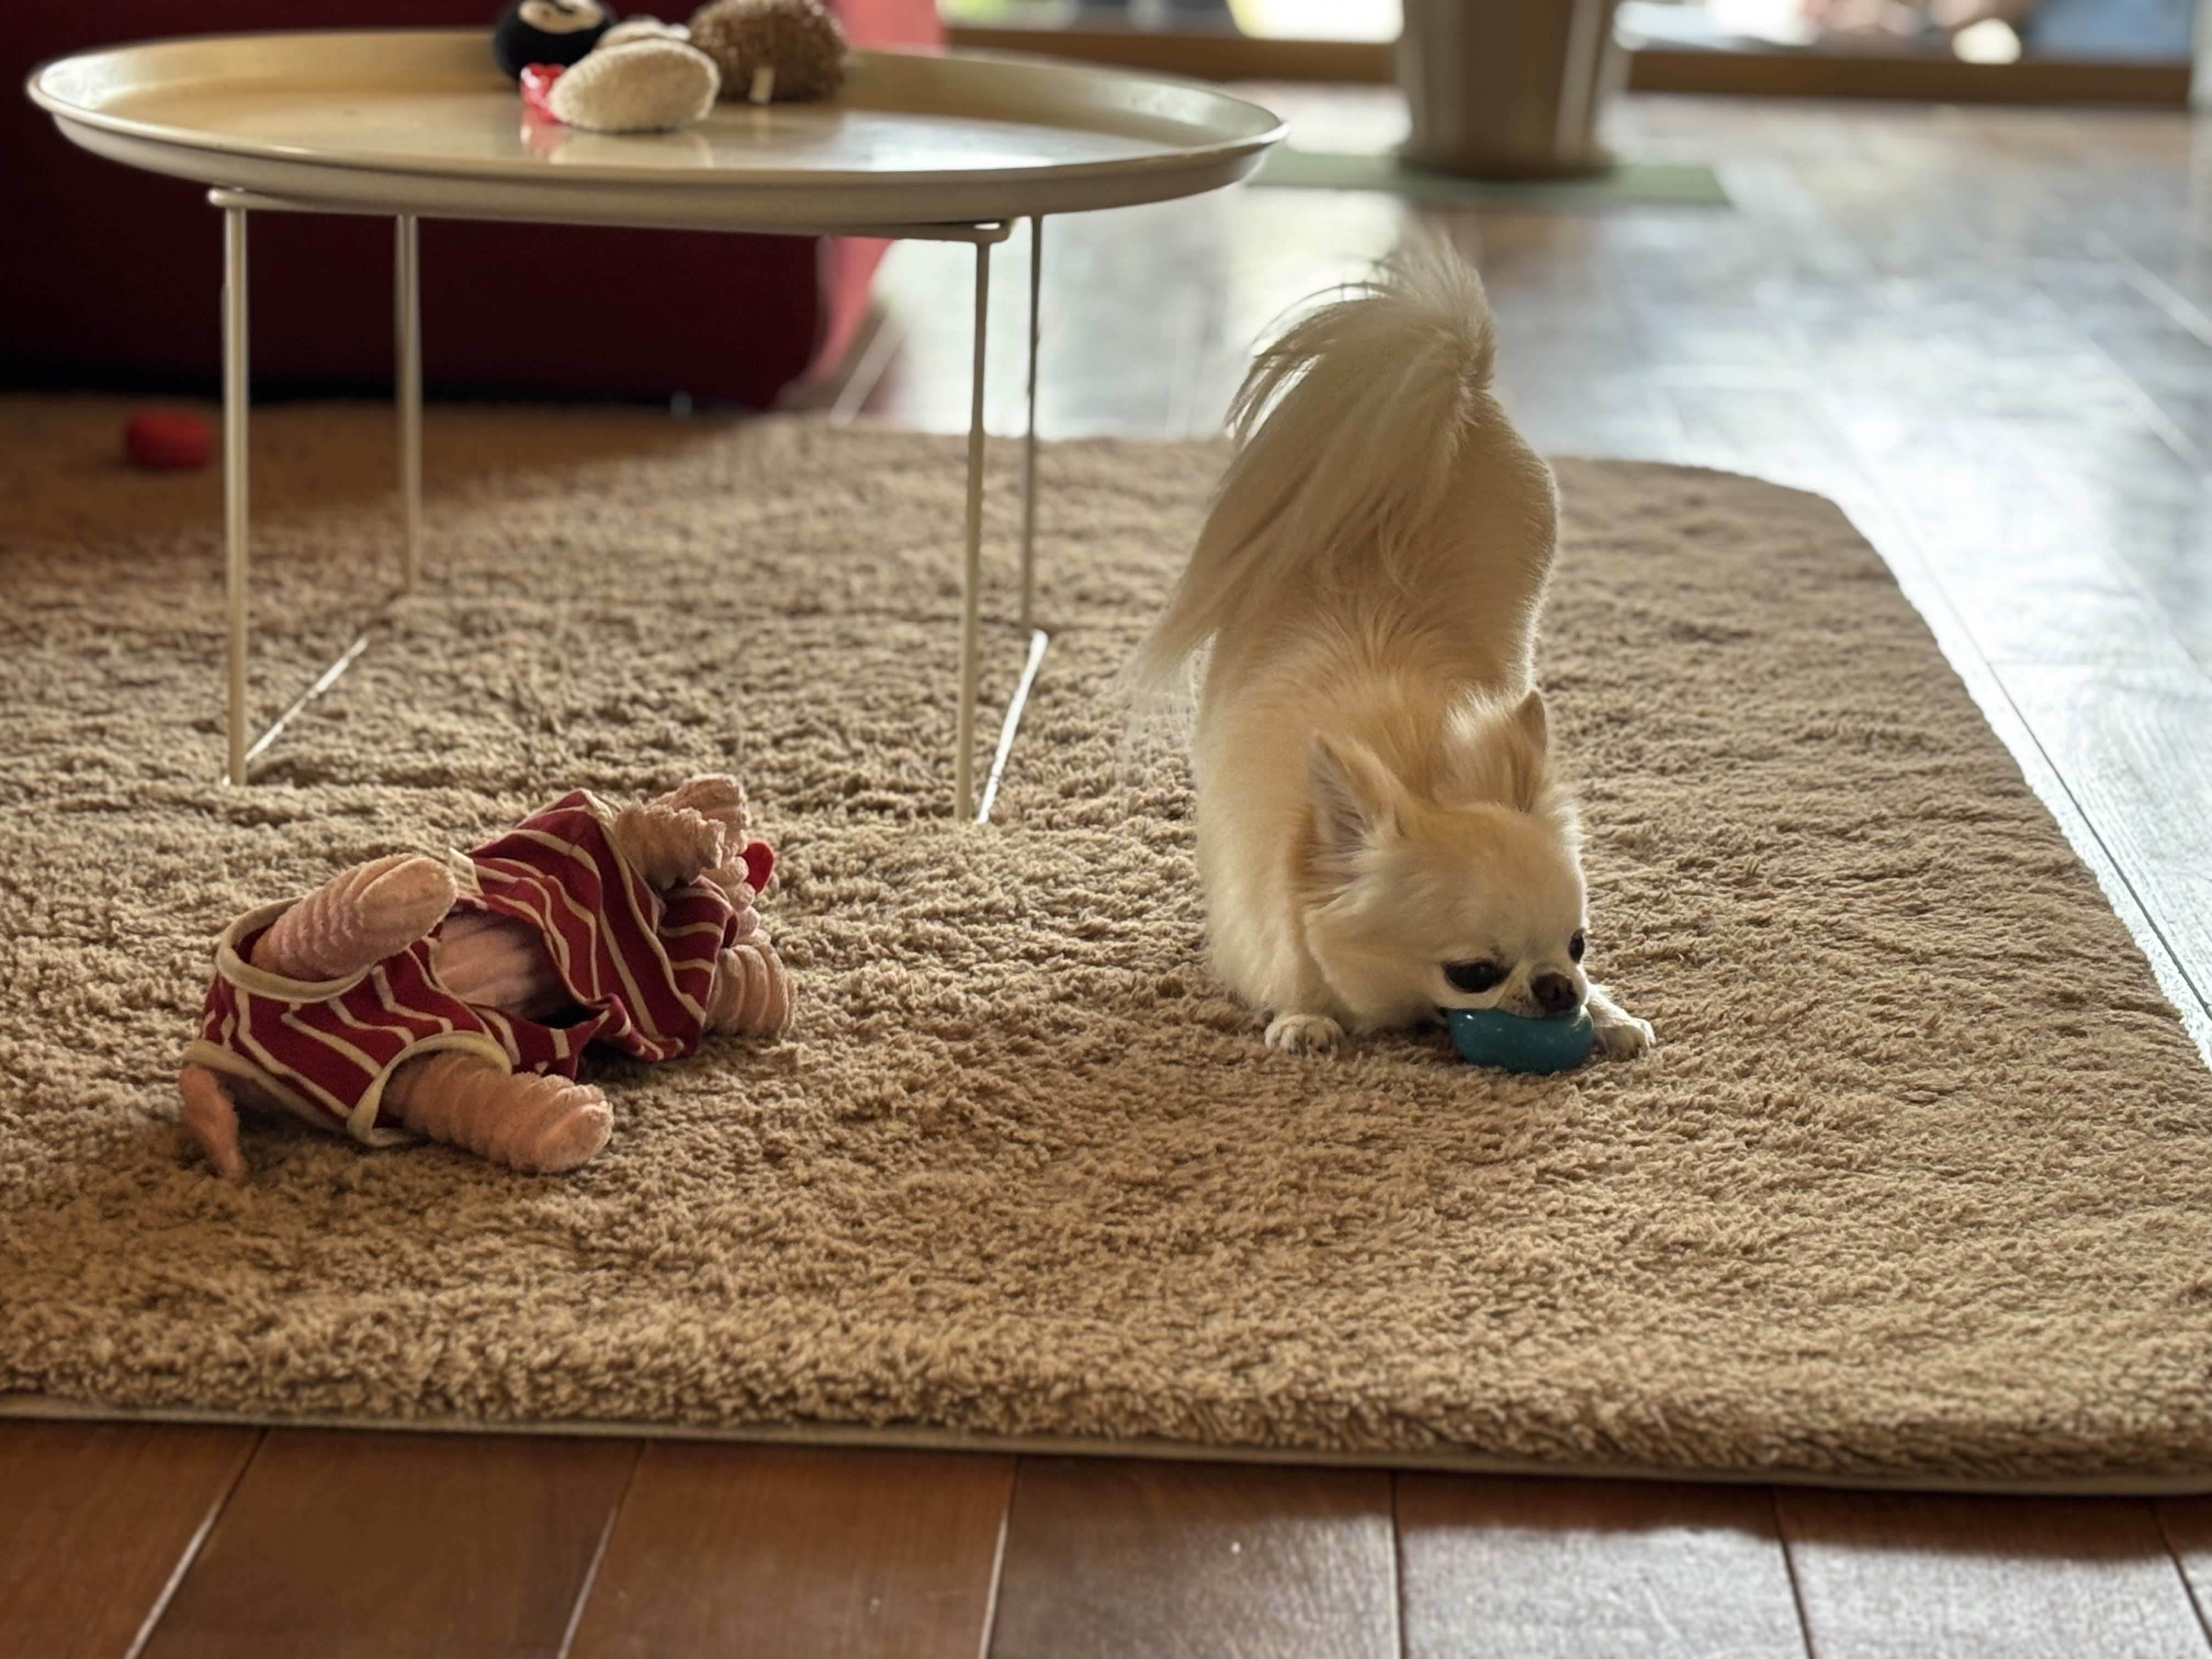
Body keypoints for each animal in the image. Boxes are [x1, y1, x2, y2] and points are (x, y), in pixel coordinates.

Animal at [1126, 235, 1655, 1060]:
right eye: (1474, 973)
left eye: (1578, 945)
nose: (1558, 988)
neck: (1416, 765)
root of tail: (1457, 386)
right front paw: (1302, 1015)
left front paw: (1608, 1012)